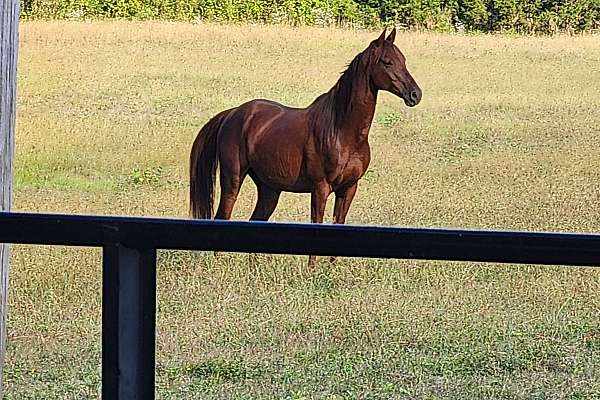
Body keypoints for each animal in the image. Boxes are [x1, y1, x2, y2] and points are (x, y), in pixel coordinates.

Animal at [190, 28, 420, 266]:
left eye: (403, 60)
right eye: (387, 62)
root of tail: (233, 113)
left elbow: (339, 224)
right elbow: (316, 226)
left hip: (269, 189)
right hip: (232, 180)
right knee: (223, 216)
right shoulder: (320, 188)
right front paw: (312, 270)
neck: (340, 130)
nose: (415, 94)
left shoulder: (349, 188)